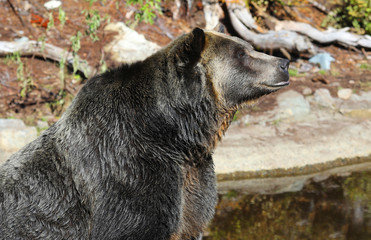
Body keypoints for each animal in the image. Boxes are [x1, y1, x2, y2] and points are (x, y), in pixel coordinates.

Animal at [0, 27, 290, 239]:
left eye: (248, 47)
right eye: (241, 54)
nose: (284, 63)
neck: (175, 135)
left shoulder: (193, 179)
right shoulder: (129, 171)